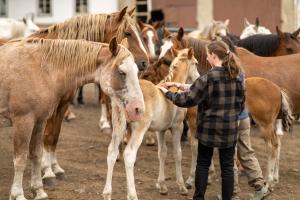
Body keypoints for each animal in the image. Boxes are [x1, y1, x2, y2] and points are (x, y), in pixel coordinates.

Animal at [0, 37, 145, 200]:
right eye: (121, 72)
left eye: (137, 71)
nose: (138, 109)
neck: (40, 69)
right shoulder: (23, 121)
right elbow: (20, 159)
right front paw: (18, 194)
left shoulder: (39, 121)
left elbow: (36, 154)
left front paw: (39, 191)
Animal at [27, 6, 150, 185]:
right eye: (127, 33)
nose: (145, 63)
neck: (55, 59)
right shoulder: (50, 108)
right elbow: (47, 136)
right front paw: (47, 171)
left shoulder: (63, 105)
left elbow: (54, 136)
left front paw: (55, 168)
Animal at [159, 28, 296, 188]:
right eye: (161, 49)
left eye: (168, 55)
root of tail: (278, 89)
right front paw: (209, 175)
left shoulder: (194, 122)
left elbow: (195, 147)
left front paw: (192, 179)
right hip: (272, 123)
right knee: (277, 144)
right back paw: (273, 178)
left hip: (264, 124)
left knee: (271, 146)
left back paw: (268, 181)